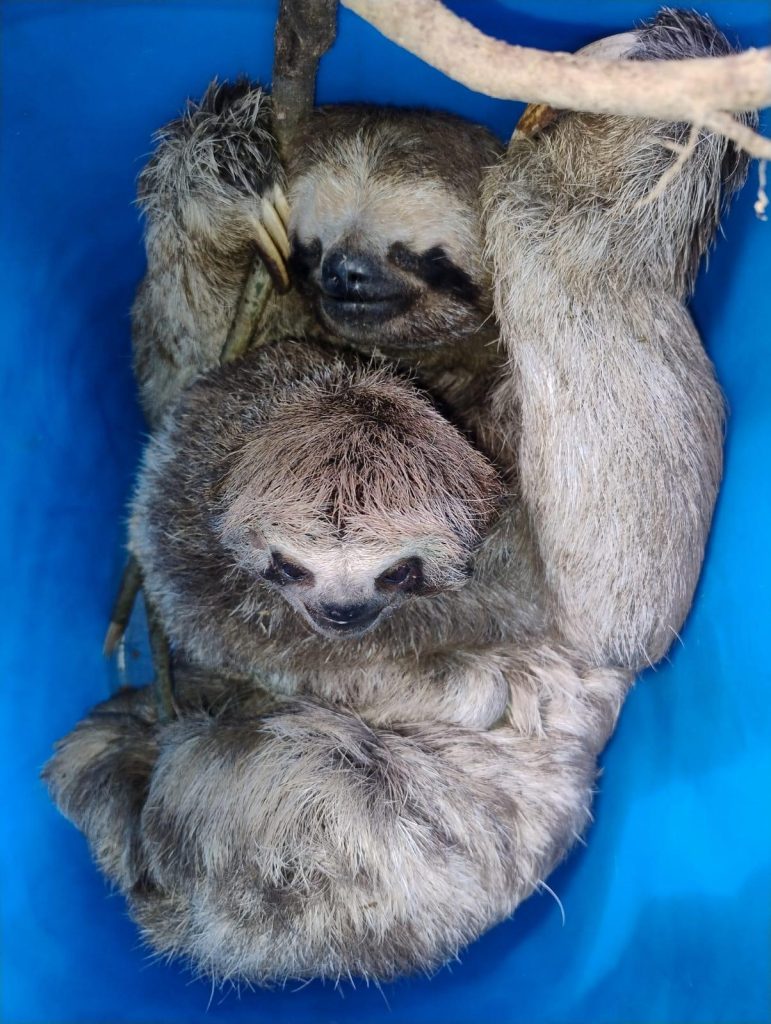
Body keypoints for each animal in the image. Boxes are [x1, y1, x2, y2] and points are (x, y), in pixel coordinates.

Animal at [46, 9, 754, 984]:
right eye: (309, 249)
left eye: (418, 256)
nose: (345, 275)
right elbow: (170, 380)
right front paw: (221, 174)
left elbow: (617, 602)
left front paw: (651, 92)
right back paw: (123, 766)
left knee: (287, 792)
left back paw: (156, 792)